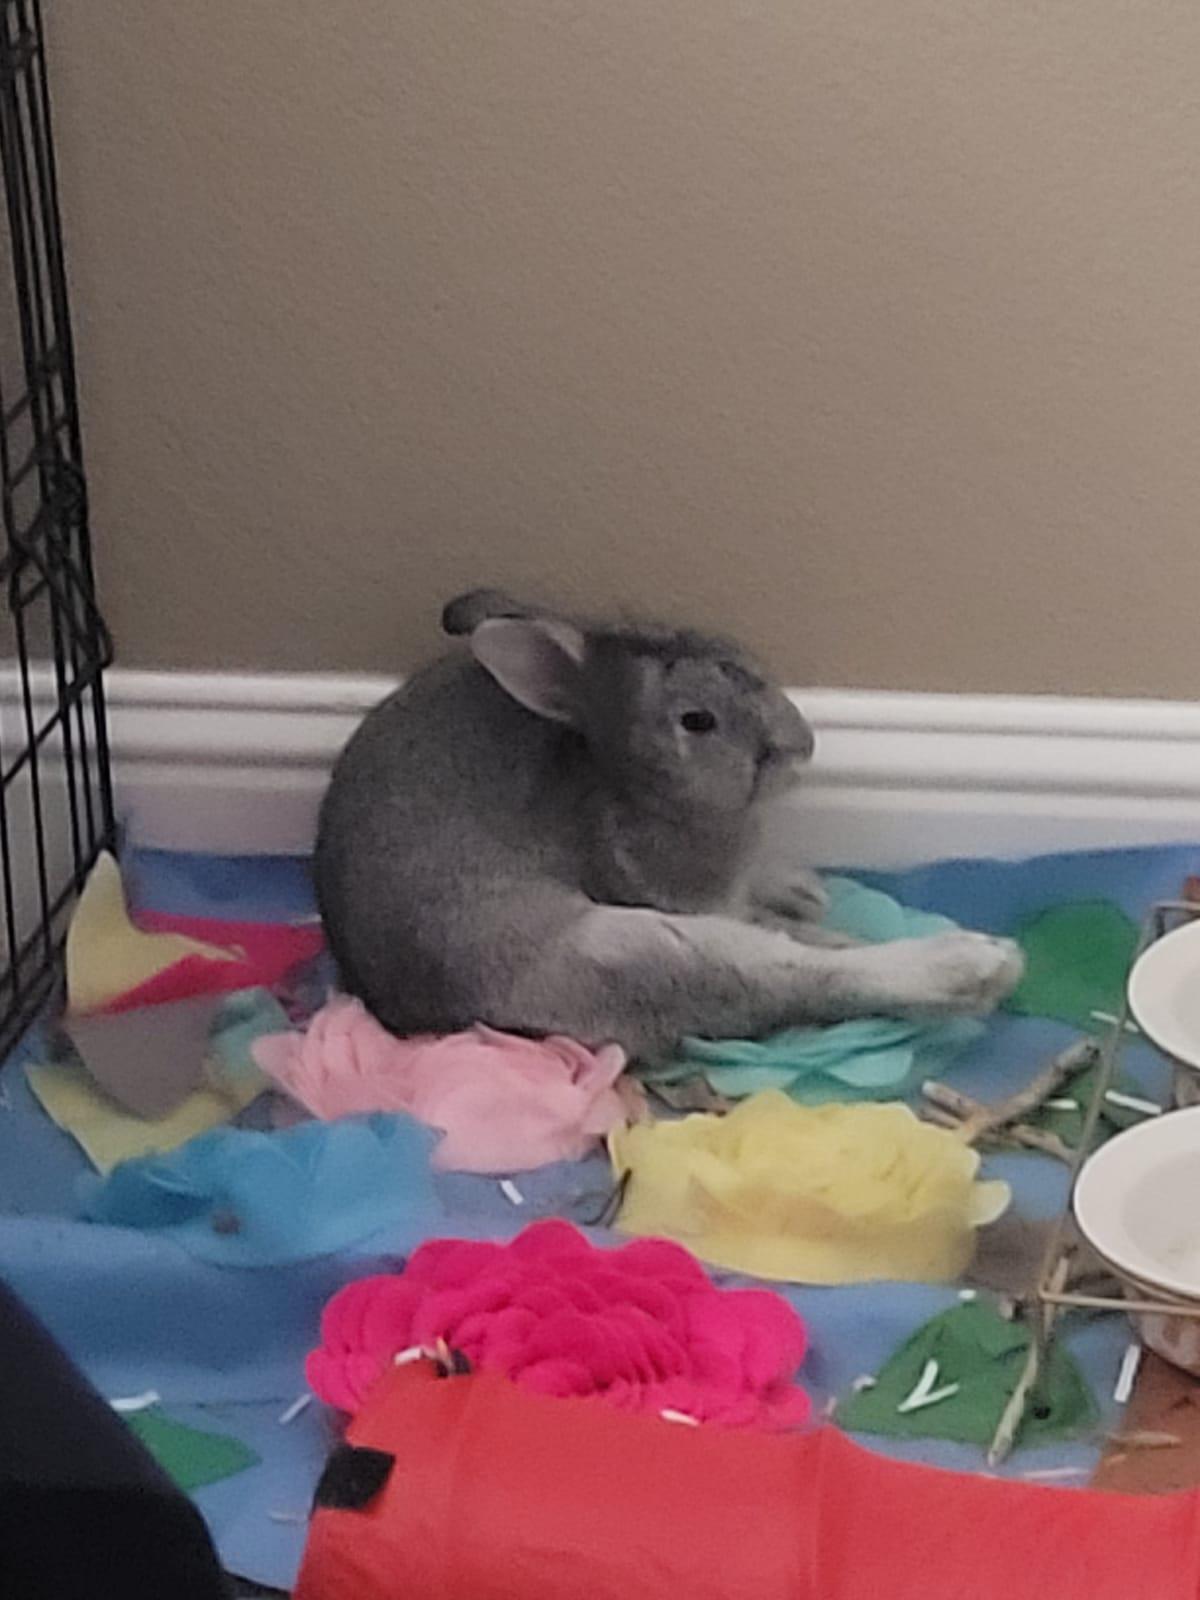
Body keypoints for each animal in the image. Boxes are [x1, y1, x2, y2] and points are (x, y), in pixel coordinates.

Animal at [314, 589, 1023, 1059]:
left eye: (743, 657)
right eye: (696, 722)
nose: (801, 744)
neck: (632, 784)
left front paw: (799, 888)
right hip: (633, 948)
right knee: (798, 980)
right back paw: (978, 962)